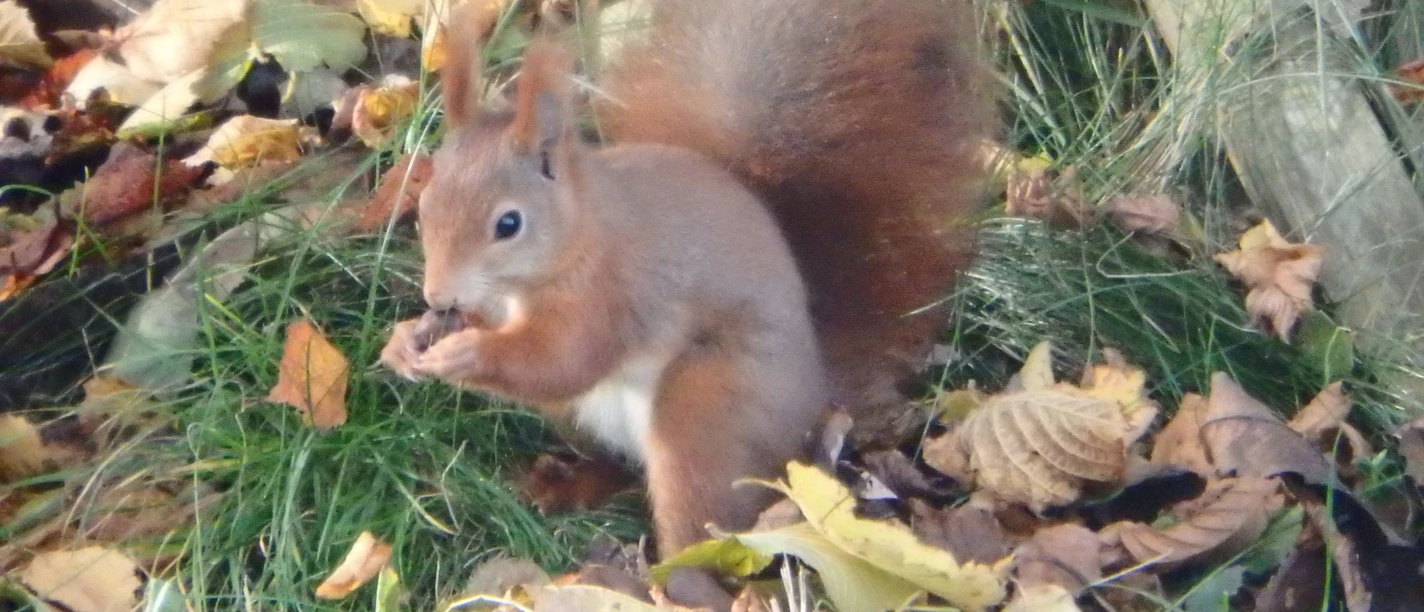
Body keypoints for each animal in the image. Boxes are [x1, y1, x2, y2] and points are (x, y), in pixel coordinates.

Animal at [379, 0, 996, 559]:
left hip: (707, 408)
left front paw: (467, 355)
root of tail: (817, 396)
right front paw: (406, 341)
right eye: (424, 204)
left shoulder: (613, 292)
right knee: (617, 463)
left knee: (706, 518)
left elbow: (563, 359)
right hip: (578, 418)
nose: (437, 294)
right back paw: (569, 482)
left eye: (508, 224)